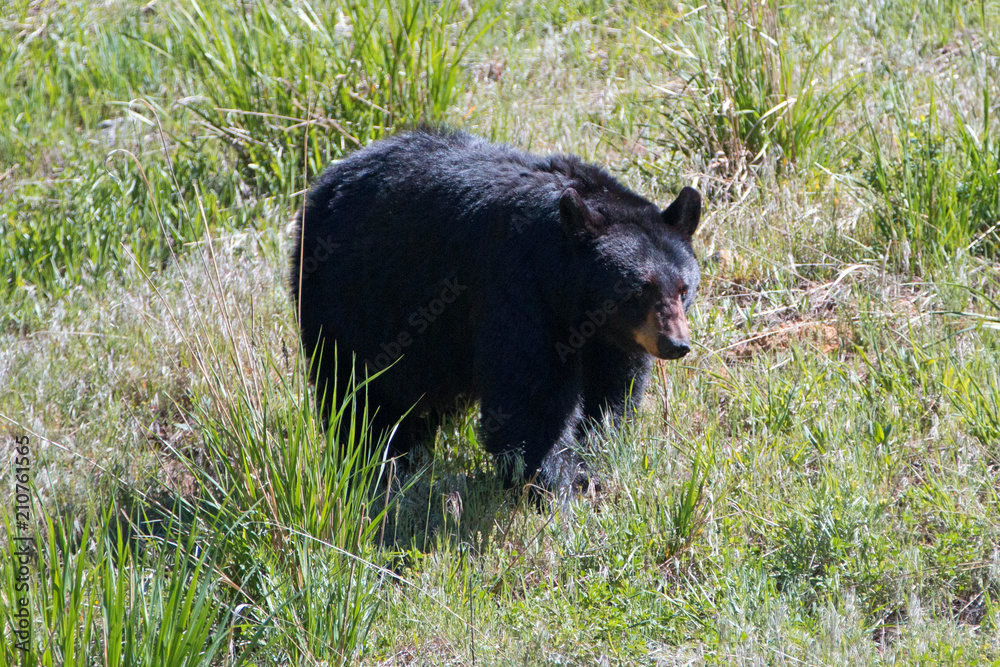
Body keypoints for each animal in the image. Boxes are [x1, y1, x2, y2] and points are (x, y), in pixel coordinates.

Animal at [290, 128, 701, 487]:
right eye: (640, 289)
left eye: (683, 289)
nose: (675, 344)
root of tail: (325, 182)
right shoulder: (517, 286)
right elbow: (530, 396)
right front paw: (558, 482)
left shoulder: (611, 336)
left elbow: (613, 389)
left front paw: (596, 454)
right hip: (353, 297)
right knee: (359, 388)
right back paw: (377, 461)